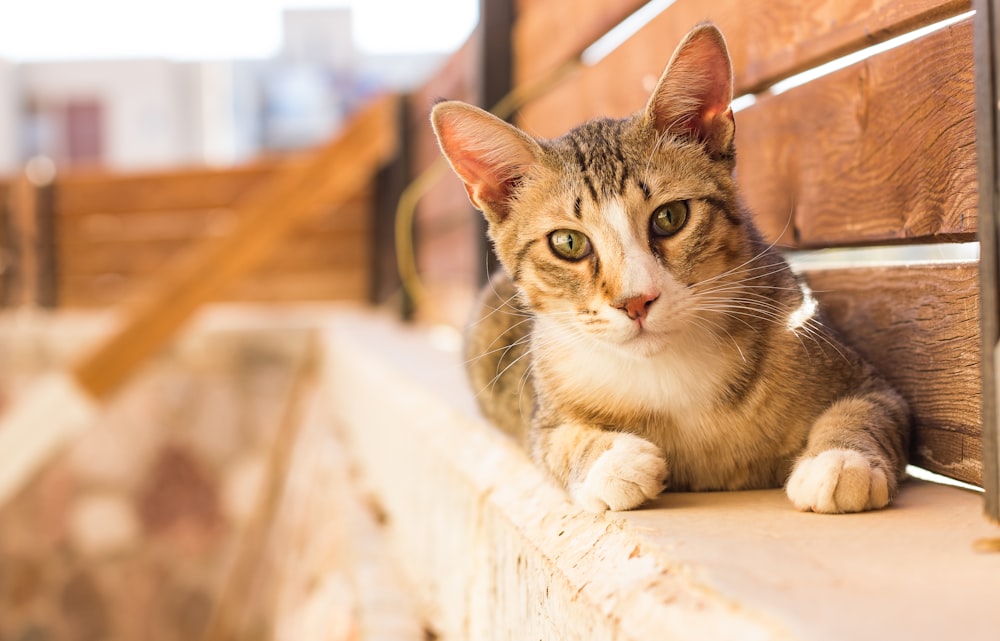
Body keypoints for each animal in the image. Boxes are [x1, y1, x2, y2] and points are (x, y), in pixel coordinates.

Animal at [432, 22, 916, 512]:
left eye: (670, 217)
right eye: (568, 243)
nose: (636, 301)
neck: (667, 370)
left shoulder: (858, 372)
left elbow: (871, 407)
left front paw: (841, 459)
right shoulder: (542, 407)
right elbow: (552, 441)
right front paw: (611, 460)